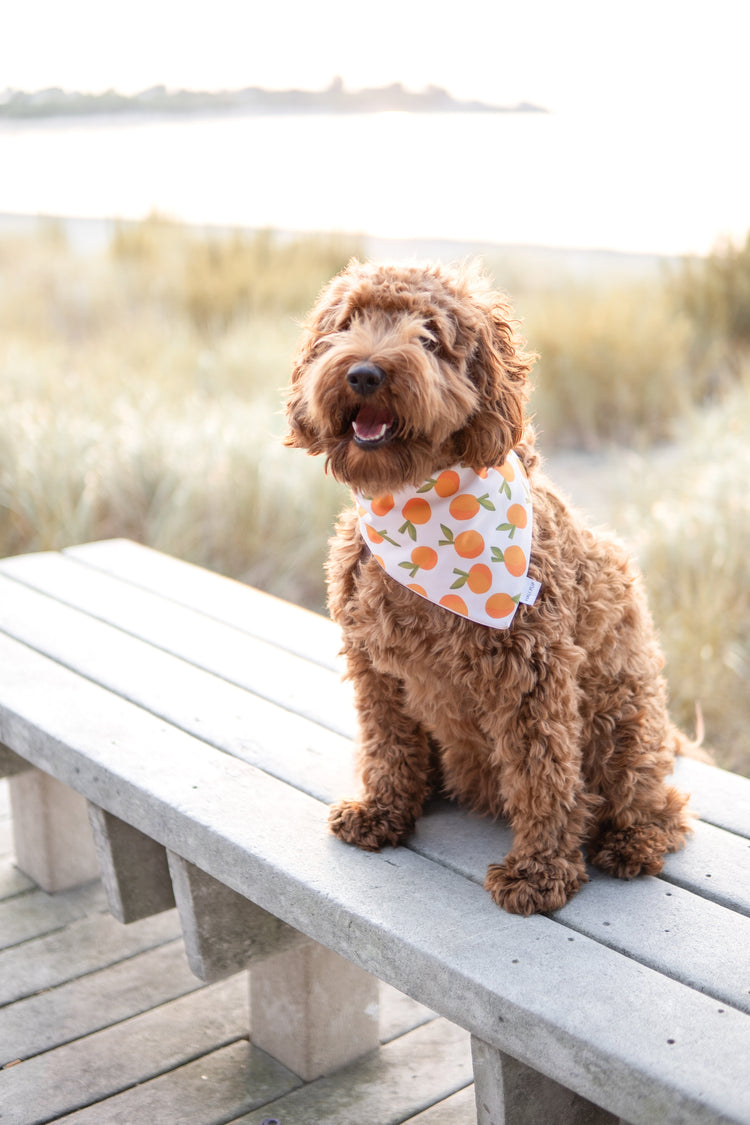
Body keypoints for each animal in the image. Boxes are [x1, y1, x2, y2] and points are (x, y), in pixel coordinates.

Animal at [284, 261, 697, 913]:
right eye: (347, 324)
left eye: (430, 336)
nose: (364, 372)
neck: (417, 502)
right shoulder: (375, 669)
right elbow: (387, 743)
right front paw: (383, 811)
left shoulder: (532, 678)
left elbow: (543, 776)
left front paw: (540, 871)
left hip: (626, 718)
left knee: (654, 800)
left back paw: (633, 841)